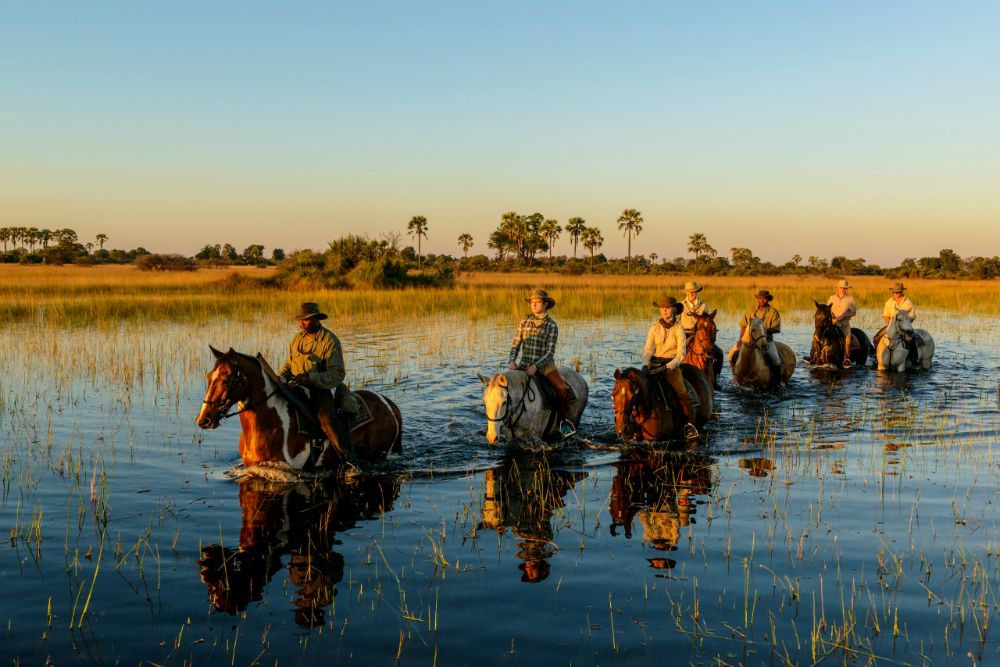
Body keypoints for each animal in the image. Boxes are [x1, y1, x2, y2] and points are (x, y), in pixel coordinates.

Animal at [195, 348, 402, 472]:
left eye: (226, 380)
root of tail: (388, 404)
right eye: (209, 377)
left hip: (378, 455)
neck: (268, 422)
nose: (203, 419)